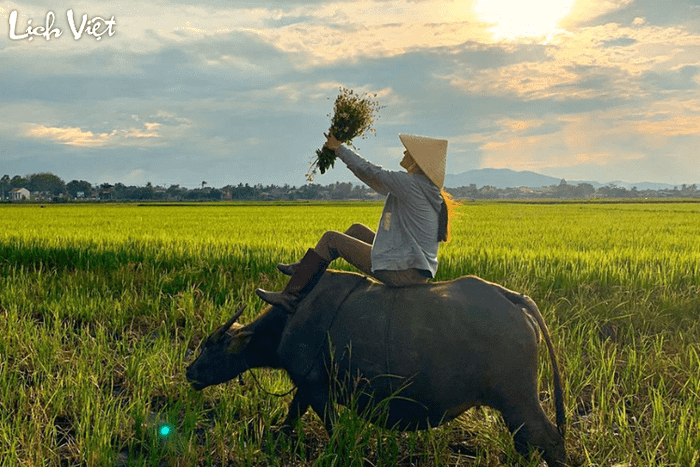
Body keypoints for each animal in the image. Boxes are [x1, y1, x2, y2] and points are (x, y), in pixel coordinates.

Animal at [185, 268, 564, 466]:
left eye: (212, 346)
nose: (190, 372)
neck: (291, 318)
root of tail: (515, 300)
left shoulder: (317, 389)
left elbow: (332, 429)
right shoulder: (307, 389)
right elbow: (292, 415)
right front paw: (277, 436)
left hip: (518, 400)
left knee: (548, 440)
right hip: (513, 407)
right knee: (529, 443)